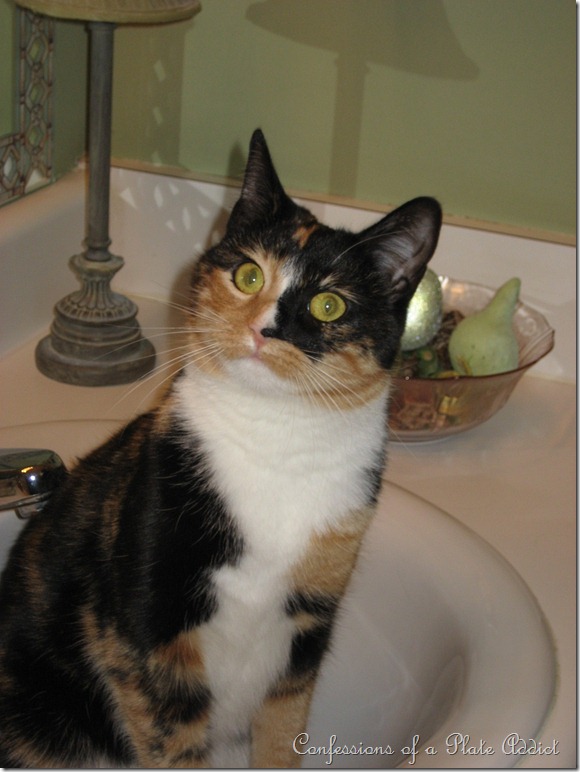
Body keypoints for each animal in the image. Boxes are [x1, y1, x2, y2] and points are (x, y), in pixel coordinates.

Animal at [0, 129, 441, 768]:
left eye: (328, 304)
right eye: (249, 275)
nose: (263, 330)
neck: (277, 443)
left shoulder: (306, 631)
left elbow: (283, 734)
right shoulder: (148, 633)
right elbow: (174, 739)